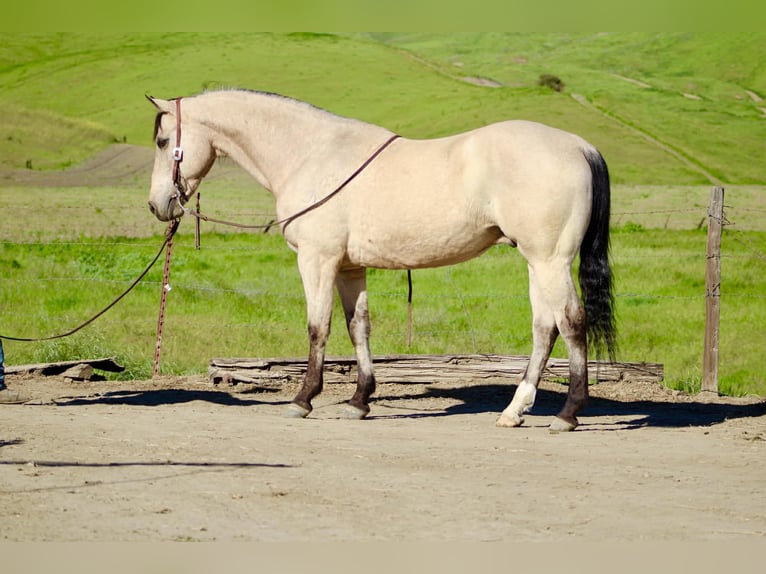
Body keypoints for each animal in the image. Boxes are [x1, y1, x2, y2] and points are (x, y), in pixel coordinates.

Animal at [147, 89, 616, 432]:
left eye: (163, 141)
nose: (157, 205)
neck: (311, 154)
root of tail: (580, 146)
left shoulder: (317, 261)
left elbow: (318, 328)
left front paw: (303, 400)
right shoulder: (350, 268)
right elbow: (359, 328)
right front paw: (359, 401)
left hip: (551, 261)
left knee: (571, 322)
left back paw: (568, 414)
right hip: (537, 263)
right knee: (545, 328)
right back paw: (515, 411)